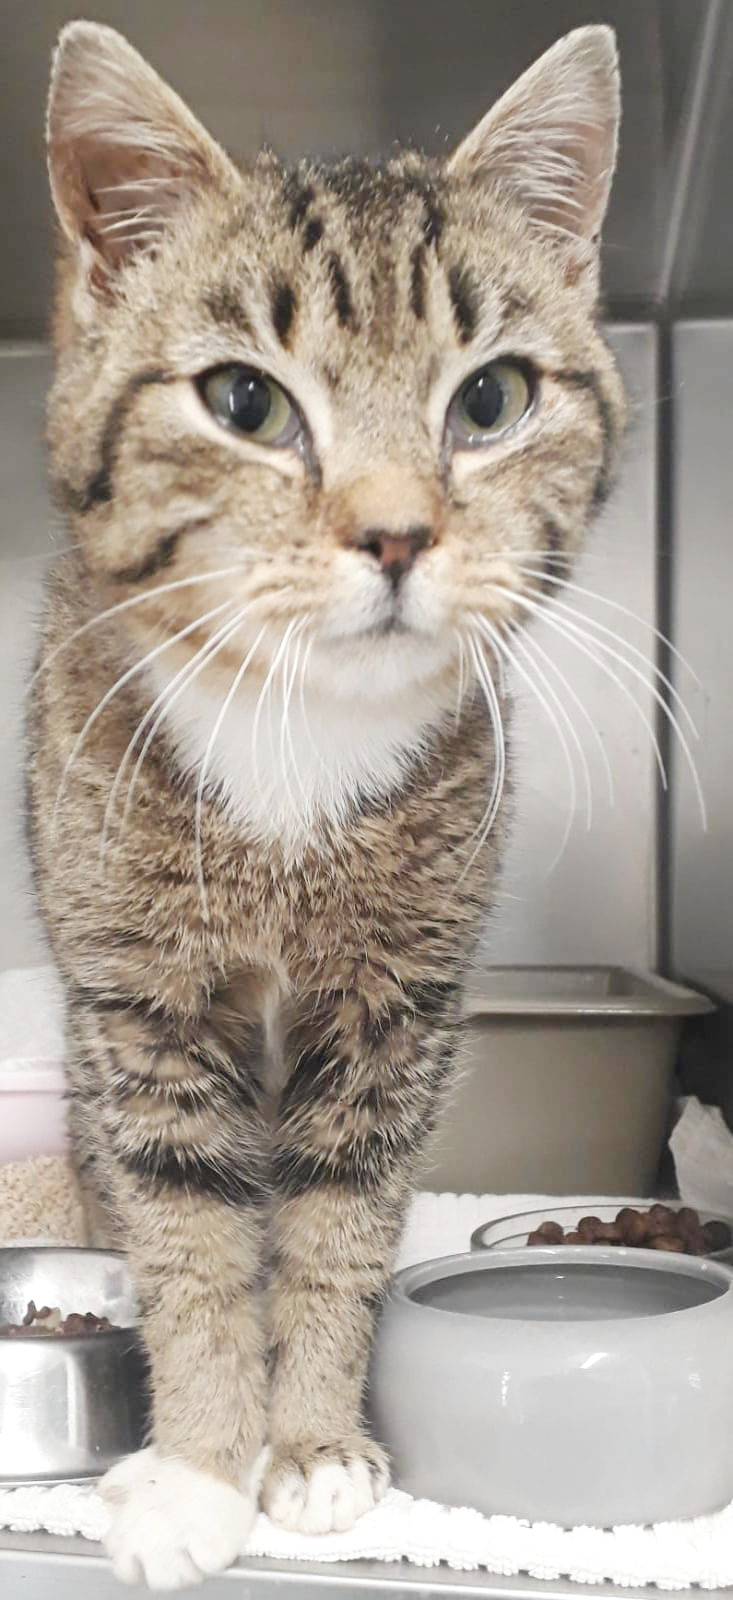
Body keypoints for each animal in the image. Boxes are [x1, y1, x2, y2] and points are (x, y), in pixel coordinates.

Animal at [26, 18, 624, 1589]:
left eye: (490, 400)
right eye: (243, 401)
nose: (396, 530)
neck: (294, 734)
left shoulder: (396, 1013)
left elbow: (339, 1224)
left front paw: (309, 1445)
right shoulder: (139, 1001)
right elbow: (189, 1231)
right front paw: (196, 1467)